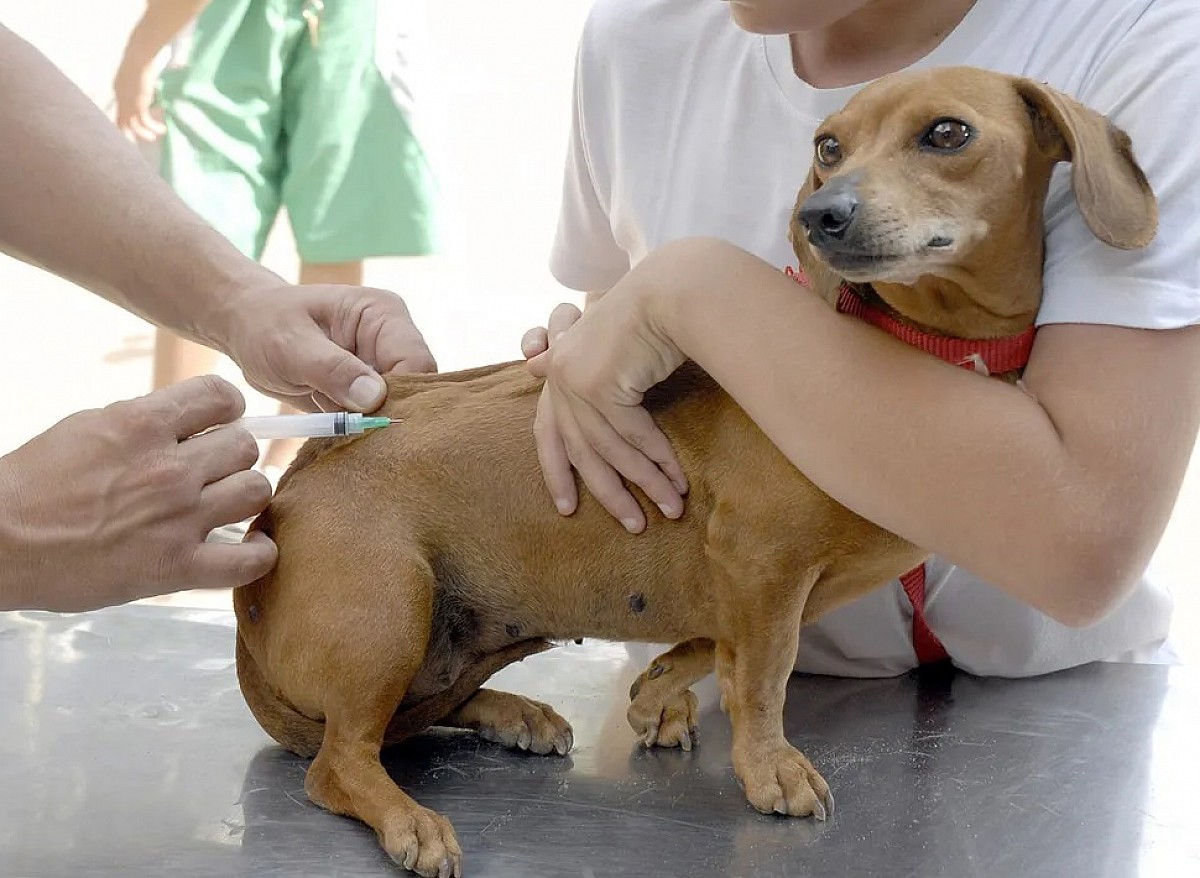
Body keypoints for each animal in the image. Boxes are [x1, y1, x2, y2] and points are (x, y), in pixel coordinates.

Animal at [231, 65, 1152, 873]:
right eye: (828, 145)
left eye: (948, 133)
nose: (822, 214)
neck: (908, 348)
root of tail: (290, 488)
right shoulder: (762, 563)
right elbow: (763, 676)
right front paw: (769, 766)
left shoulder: (760, 582)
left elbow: (720, 647)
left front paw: (659, 689)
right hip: (392, 611)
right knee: (344, 760)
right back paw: (411, 819)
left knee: (418, 716)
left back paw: (513, 712)